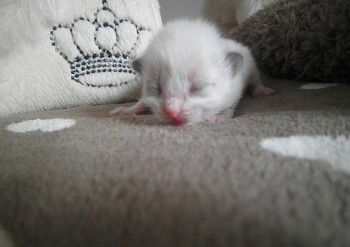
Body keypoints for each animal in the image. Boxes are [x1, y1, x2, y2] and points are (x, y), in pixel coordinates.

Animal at [109, 18, 274, 125]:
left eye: (197, 88)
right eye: (156, 88)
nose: (172, 113)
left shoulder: (234, 89)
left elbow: (228, 106)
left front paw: (219, 118)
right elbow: (142, 101)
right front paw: (127, 110)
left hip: (251, 66)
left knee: (255, 81)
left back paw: (263, 91)